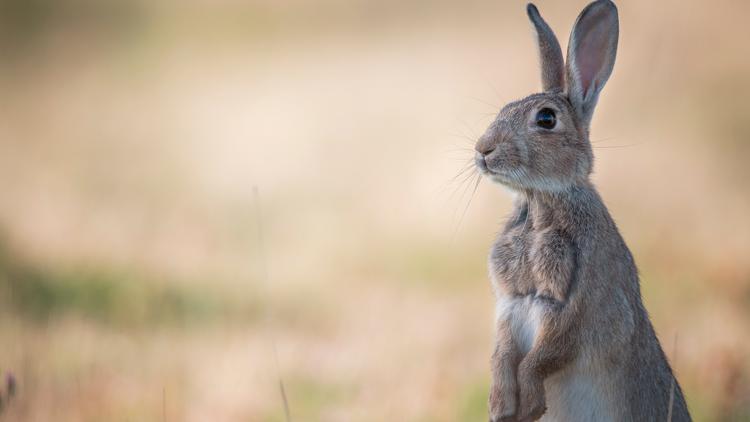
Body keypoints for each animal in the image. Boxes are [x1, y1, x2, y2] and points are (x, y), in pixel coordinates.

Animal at [476, 0, 692, 422]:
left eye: (546, 119)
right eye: (504, 108)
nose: (483, 149)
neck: (540, 201)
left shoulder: (578, 305)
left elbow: (545, 354)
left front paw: (529, 405)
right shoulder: (510, 304)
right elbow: (501, 352)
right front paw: (500, 406)